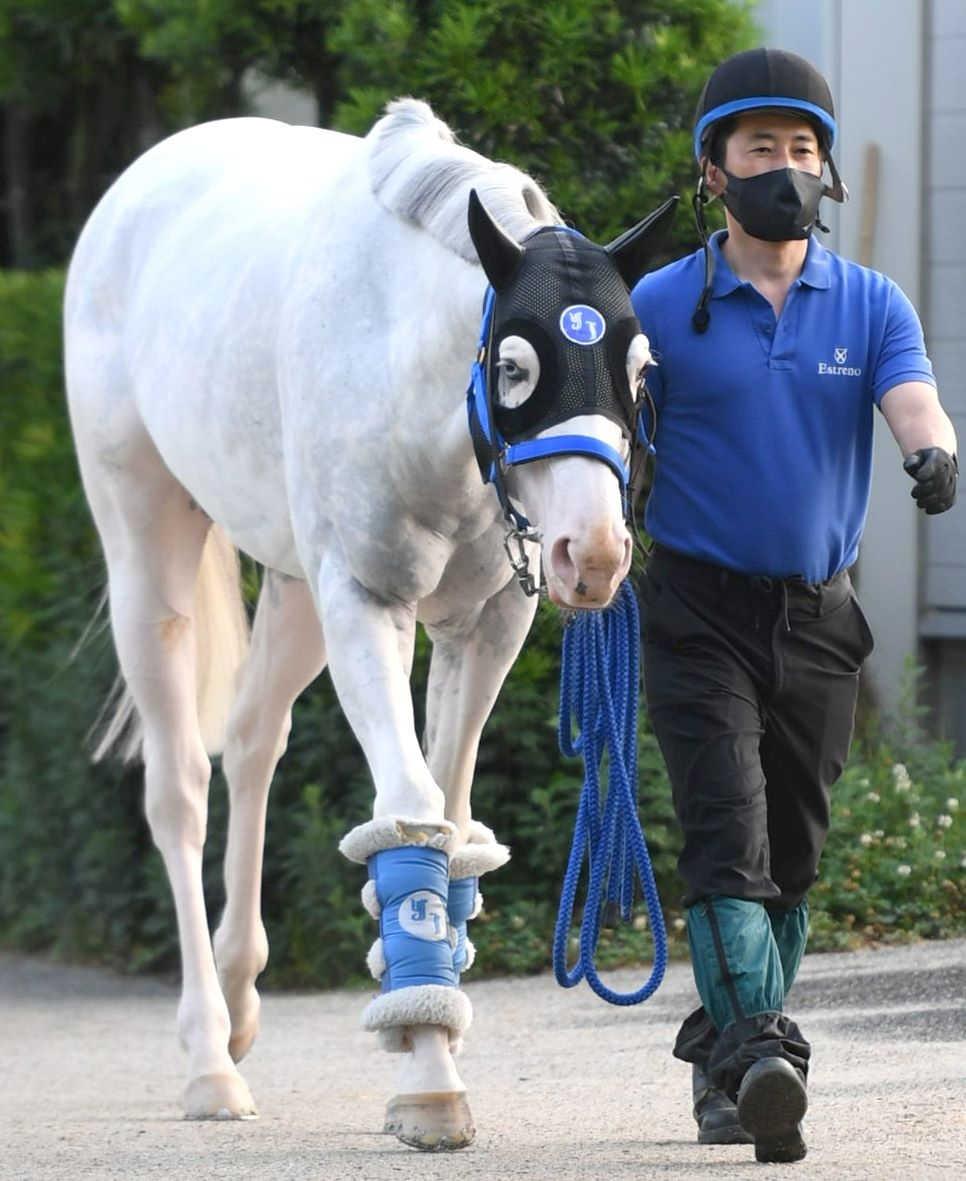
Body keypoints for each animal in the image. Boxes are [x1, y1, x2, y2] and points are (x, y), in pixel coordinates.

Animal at [61, 96, 661, 1147]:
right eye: (515, 364)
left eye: (638, 368)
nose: (591, 553)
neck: (402, 363)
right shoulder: (366, 605)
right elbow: (413, 811)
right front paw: (428, 1076)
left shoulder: (484, 626)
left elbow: (453, 819)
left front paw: (433, 1039)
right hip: (148, 559)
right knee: (178, 788)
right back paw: (209, 1058)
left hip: (296, 589)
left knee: (252, 739)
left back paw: (239, 996)